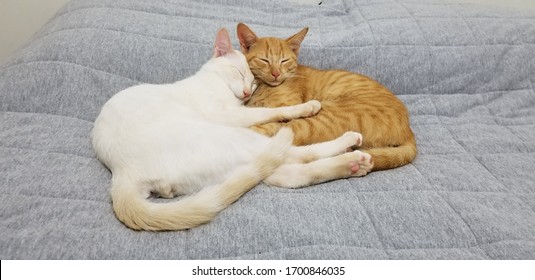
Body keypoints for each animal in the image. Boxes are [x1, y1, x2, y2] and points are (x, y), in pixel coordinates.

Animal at [92, 28, 372, 231]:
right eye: (239, 72)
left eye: (253, 82)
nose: (248, 91)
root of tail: (122, 173)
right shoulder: (230, 115)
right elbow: (271, 112)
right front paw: (305, 107)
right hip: (232, 137)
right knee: (295, 155)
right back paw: (351, 148)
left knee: (290, 174)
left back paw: (354, 164)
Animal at [239, 22, 418, 171]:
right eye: (264, 60)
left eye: (284, 60)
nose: (276, 73)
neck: (262, 87)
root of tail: (408, 130)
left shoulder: (282, 109)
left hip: (318, 121)